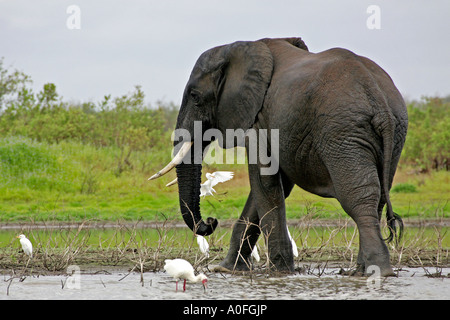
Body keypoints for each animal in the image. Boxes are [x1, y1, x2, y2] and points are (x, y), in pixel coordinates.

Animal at [150, 37, 408, 276]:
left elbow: (264, 183)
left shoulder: (259, 121)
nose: (211, 222)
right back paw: (360, 272)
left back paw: (376, 272)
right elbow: (272, 187)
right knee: (378, 196)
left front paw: (279, 271)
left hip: (342, 132)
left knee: (358, 197)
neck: (237, 48)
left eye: (195, 96)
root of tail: (379, 101)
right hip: (391, 135)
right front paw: (226, 269)